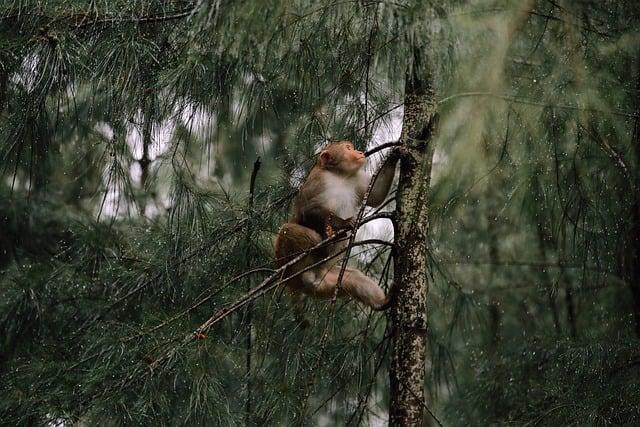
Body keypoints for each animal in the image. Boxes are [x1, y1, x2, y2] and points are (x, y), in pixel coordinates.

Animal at [274, 142, 400, 312]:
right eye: (348, 148)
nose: (359, 152)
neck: (340, 176)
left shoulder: (356, 179)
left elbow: (376, 195)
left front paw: (393, 155)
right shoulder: (317, 181)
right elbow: (307, 210)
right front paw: (343, 223)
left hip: (327, 279)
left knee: (354, 278)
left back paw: (383, 302)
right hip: (290, 264)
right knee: (287, 230)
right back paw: (325, 246)